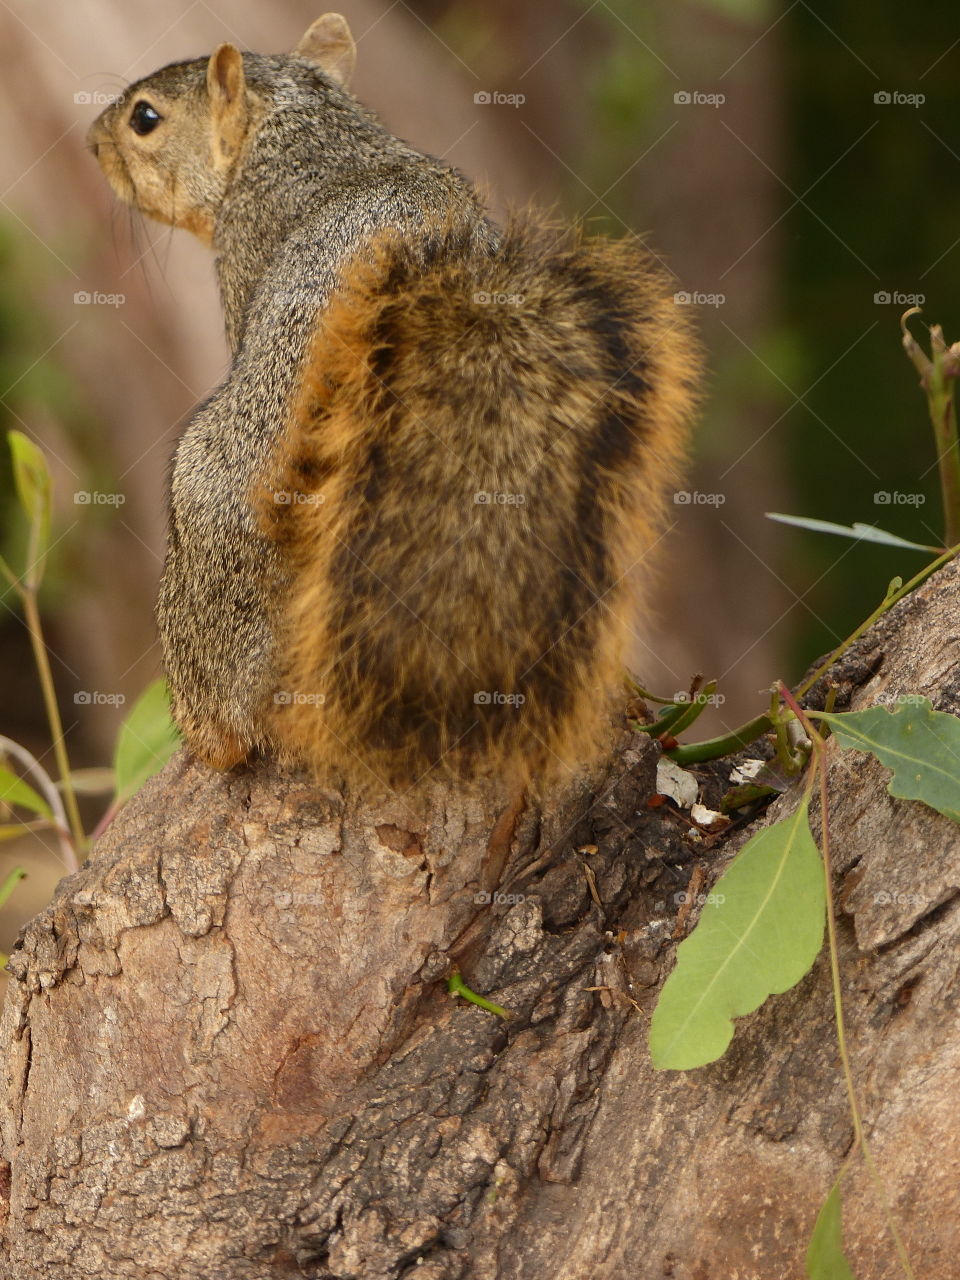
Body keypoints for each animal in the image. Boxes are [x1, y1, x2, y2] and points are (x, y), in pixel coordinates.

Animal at [86, 12, 701, 788]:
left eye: (145, 118)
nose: (91, 141)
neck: (309, 131)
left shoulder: (243, 255)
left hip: (205, 512)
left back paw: (210, 737)